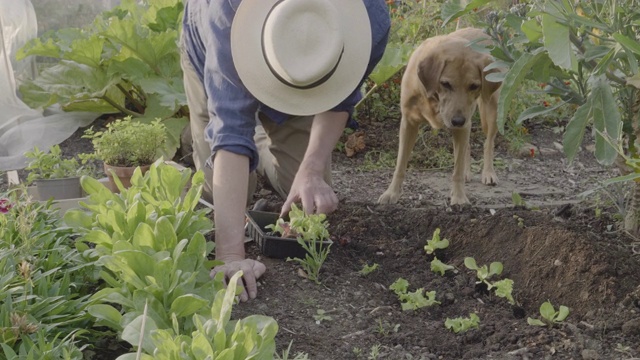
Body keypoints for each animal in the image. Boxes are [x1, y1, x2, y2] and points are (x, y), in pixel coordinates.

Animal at [378, 28, 502, 205]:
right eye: (445, 84)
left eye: (474, 86)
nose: (457, 121)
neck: (433, 99)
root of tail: (480, 30)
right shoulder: (408, 123)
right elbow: (400, 165)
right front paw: (391, 193)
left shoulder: (463, 125)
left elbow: (457, 170)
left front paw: (459, 198)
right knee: (467, 145)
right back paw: (467, 171)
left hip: (490, 111)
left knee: (488, 143)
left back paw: (488, 173)